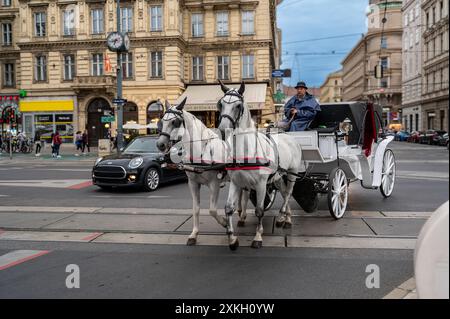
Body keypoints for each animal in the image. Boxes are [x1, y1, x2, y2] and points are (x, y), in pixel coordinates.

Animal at [156, 97, 250, 248]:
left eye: (175, 122)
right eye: (162, 121)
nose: (160, 144)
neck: (202, 150)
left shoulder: (214, 184)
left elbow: (212, 210)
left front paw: (225, 222)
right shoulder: (193, 183)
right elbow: (196, 209)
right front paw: (194, 234)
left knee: (246, 195)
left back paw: (242, 217)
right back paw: (240, 211)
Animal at [217, 80, 302, 250]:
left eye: (238, 106)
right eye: (220, 104)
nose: (223, 131)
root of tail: (289, 137)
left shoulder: (261, 184)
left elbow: (259, 210)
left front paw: (257, 237)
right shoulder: (236, 182)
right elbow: (229, 208)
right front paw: (232, 239)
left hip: (291, 174)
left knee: (288, 193)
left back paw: (284, 217)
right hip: (278, 177)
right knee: (284, 193)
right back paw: (285, 217)